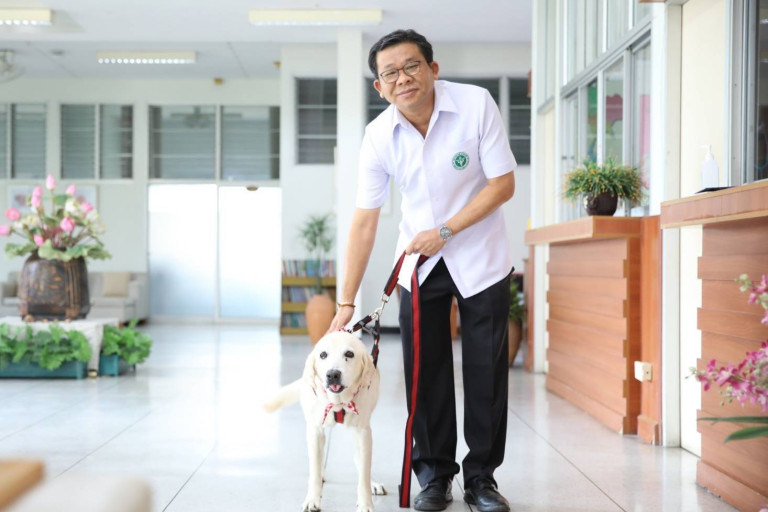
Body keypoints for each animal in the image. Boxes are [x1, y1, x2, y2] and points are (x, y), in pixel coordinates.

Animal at [263, 330, 385, 512]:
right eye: (323, 355)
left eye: (349, 354)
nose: (333, 374)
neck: (338, 402)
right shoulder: (315, 431)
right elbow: (314, 469)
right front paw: (312, 499)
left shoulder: (363, 433)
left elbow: (364, 473)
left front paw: (365, 504)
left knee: (361, 462)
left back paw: (374, 483)